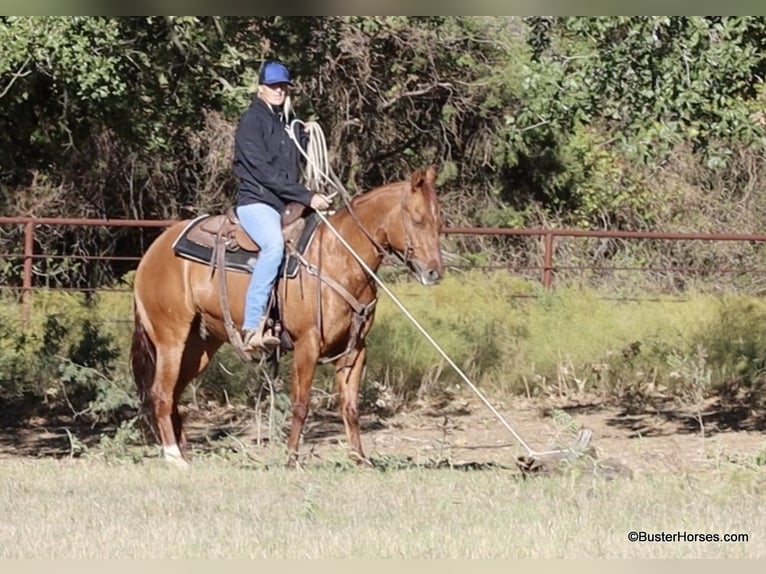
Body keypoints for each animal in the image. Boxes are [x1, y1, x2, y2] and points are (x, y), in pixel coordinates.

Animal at [130, 165, 444, 466]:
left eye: (438, 220)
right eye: (417, 220)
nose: (434, 273)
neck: (339, 256)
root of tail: (153, 252)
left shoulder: (355, 348)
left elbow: (350, 407)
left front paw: (360, 459)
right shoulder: (307, 344)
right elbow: (301, 404)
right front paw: (292, 459)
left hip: (200, 344)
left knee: (174, 394)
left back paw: (184, 454)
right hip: (171, 339)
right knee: (161, 394)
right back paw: (174, 457)